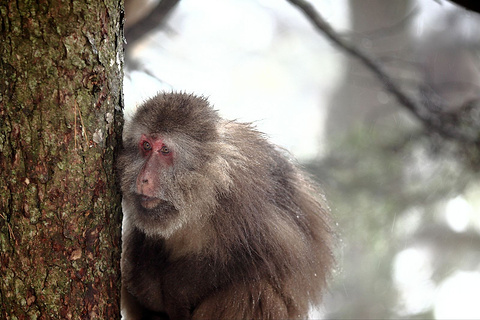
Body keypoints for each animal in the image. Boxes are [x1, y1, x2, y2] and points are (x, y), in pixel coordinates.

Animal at [116, 91, 334, 318]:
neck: (202, 199)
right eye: (146, 146)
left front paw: (177, 290)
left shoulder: (245, 198)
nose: (143, 179)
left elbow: (280, 257)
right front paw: (147, 285)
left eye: (165, 150)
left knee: (252, 289)